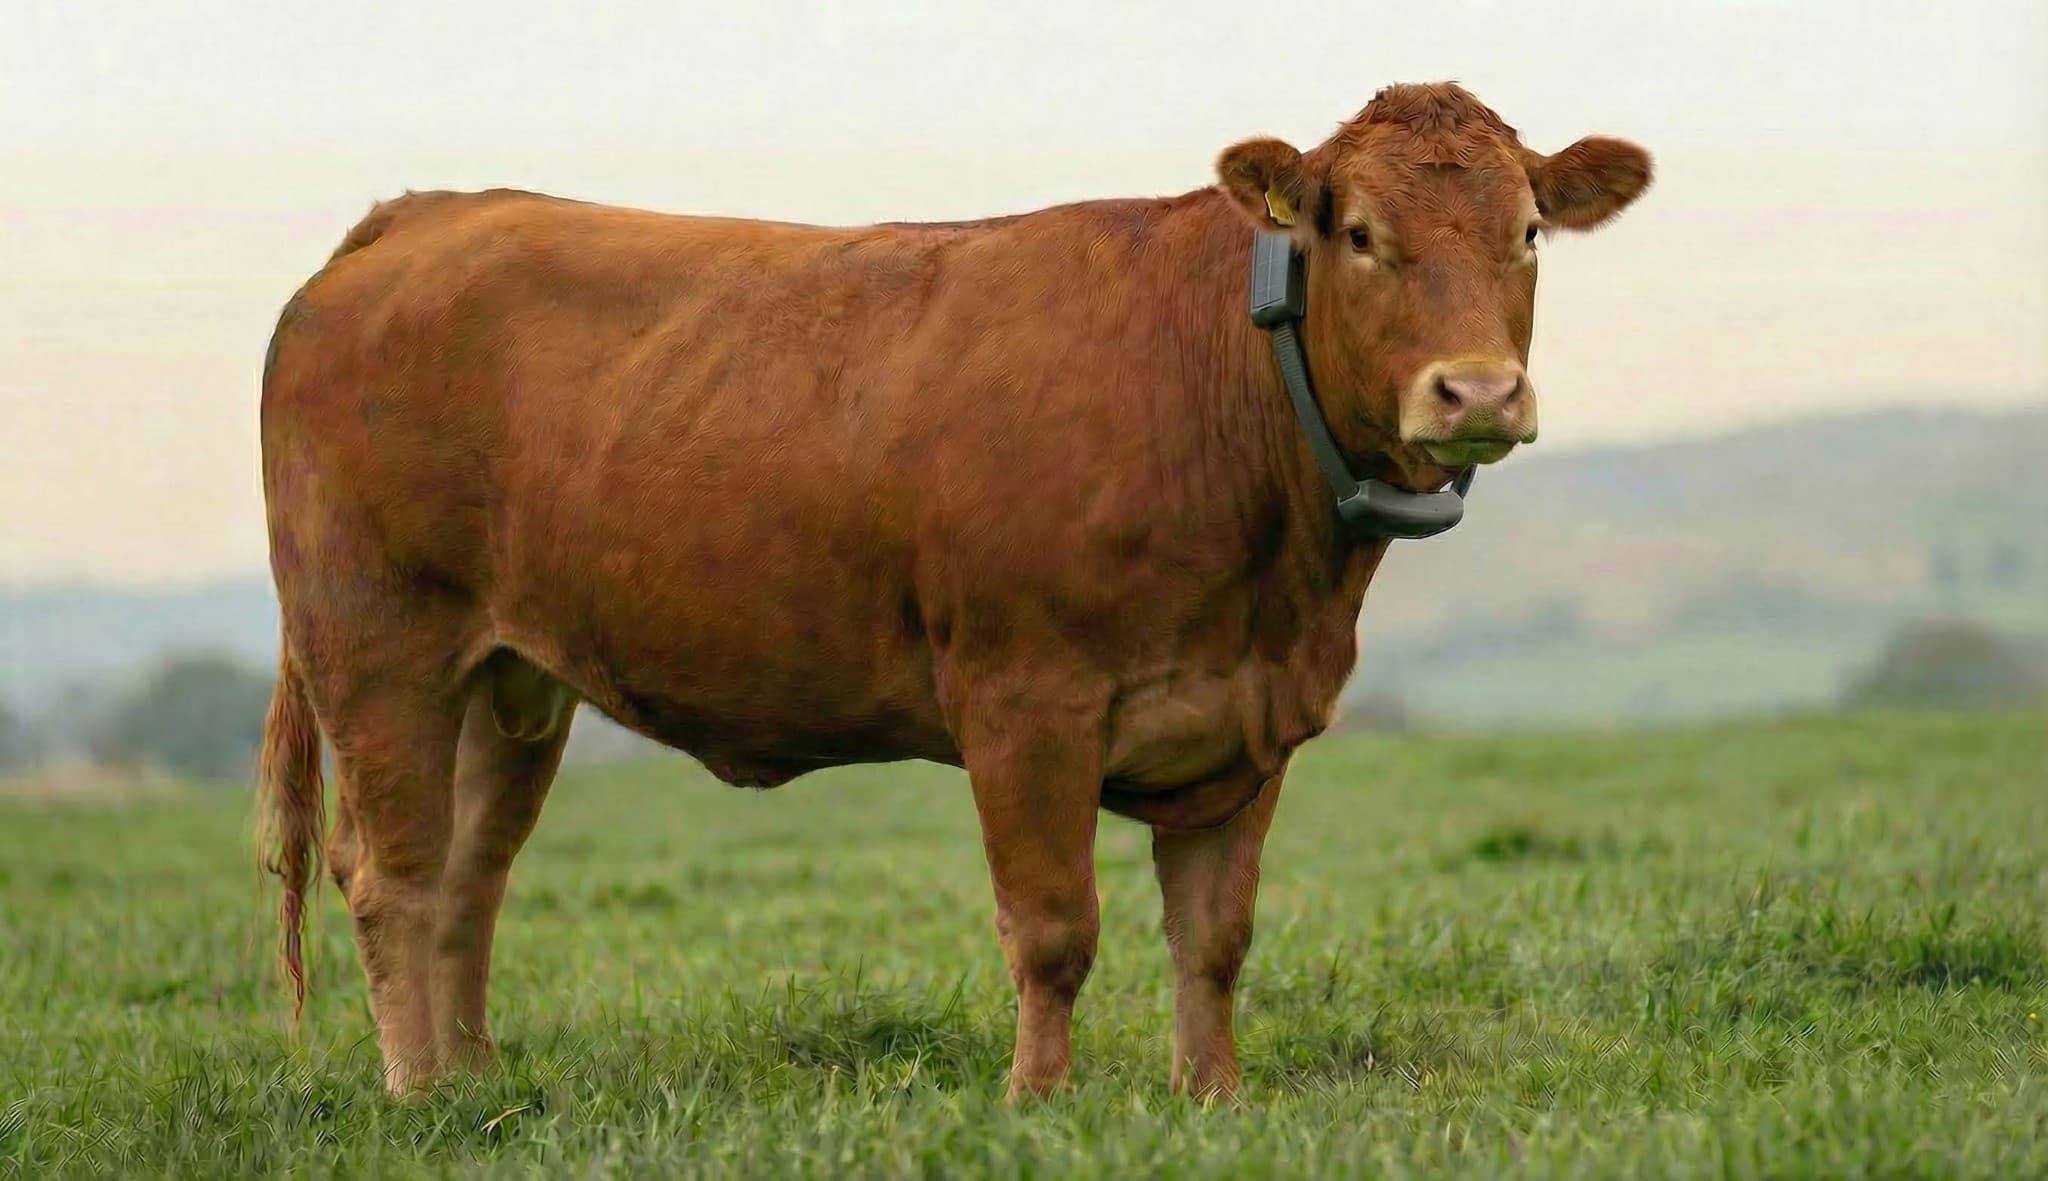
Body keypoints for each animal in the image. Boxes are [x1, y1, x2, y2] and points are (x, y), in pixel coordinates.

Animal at [257, 81, 1650, 1099]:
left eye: (1527, 232)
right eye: (1357, 234)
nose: (1475, 392)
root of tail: (422, 214)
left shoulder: (1249, 722)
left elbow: (1213, 936)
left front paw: (1210, 1096)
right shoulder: (1026, 702)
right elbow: (1052, 926)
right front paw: (1037, 1100)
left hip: (512, 679)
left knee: (470, 873)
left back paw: (479, 1079)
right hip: (378, 646)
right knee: (393, 874)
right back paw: (420, 1094)